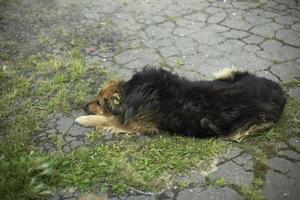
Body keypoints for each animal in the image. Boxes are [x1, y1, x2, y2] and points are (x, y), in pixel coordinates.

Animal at [75, 67, 286, 141]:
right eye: (96, 98)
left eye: (100, 103)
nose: (84, 106)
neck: (131, 91)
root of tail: (280, 92)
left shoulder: (140, 125)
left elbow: (107, 121)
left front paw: (85, 119)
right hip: (229, 73)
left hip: (253, 123)